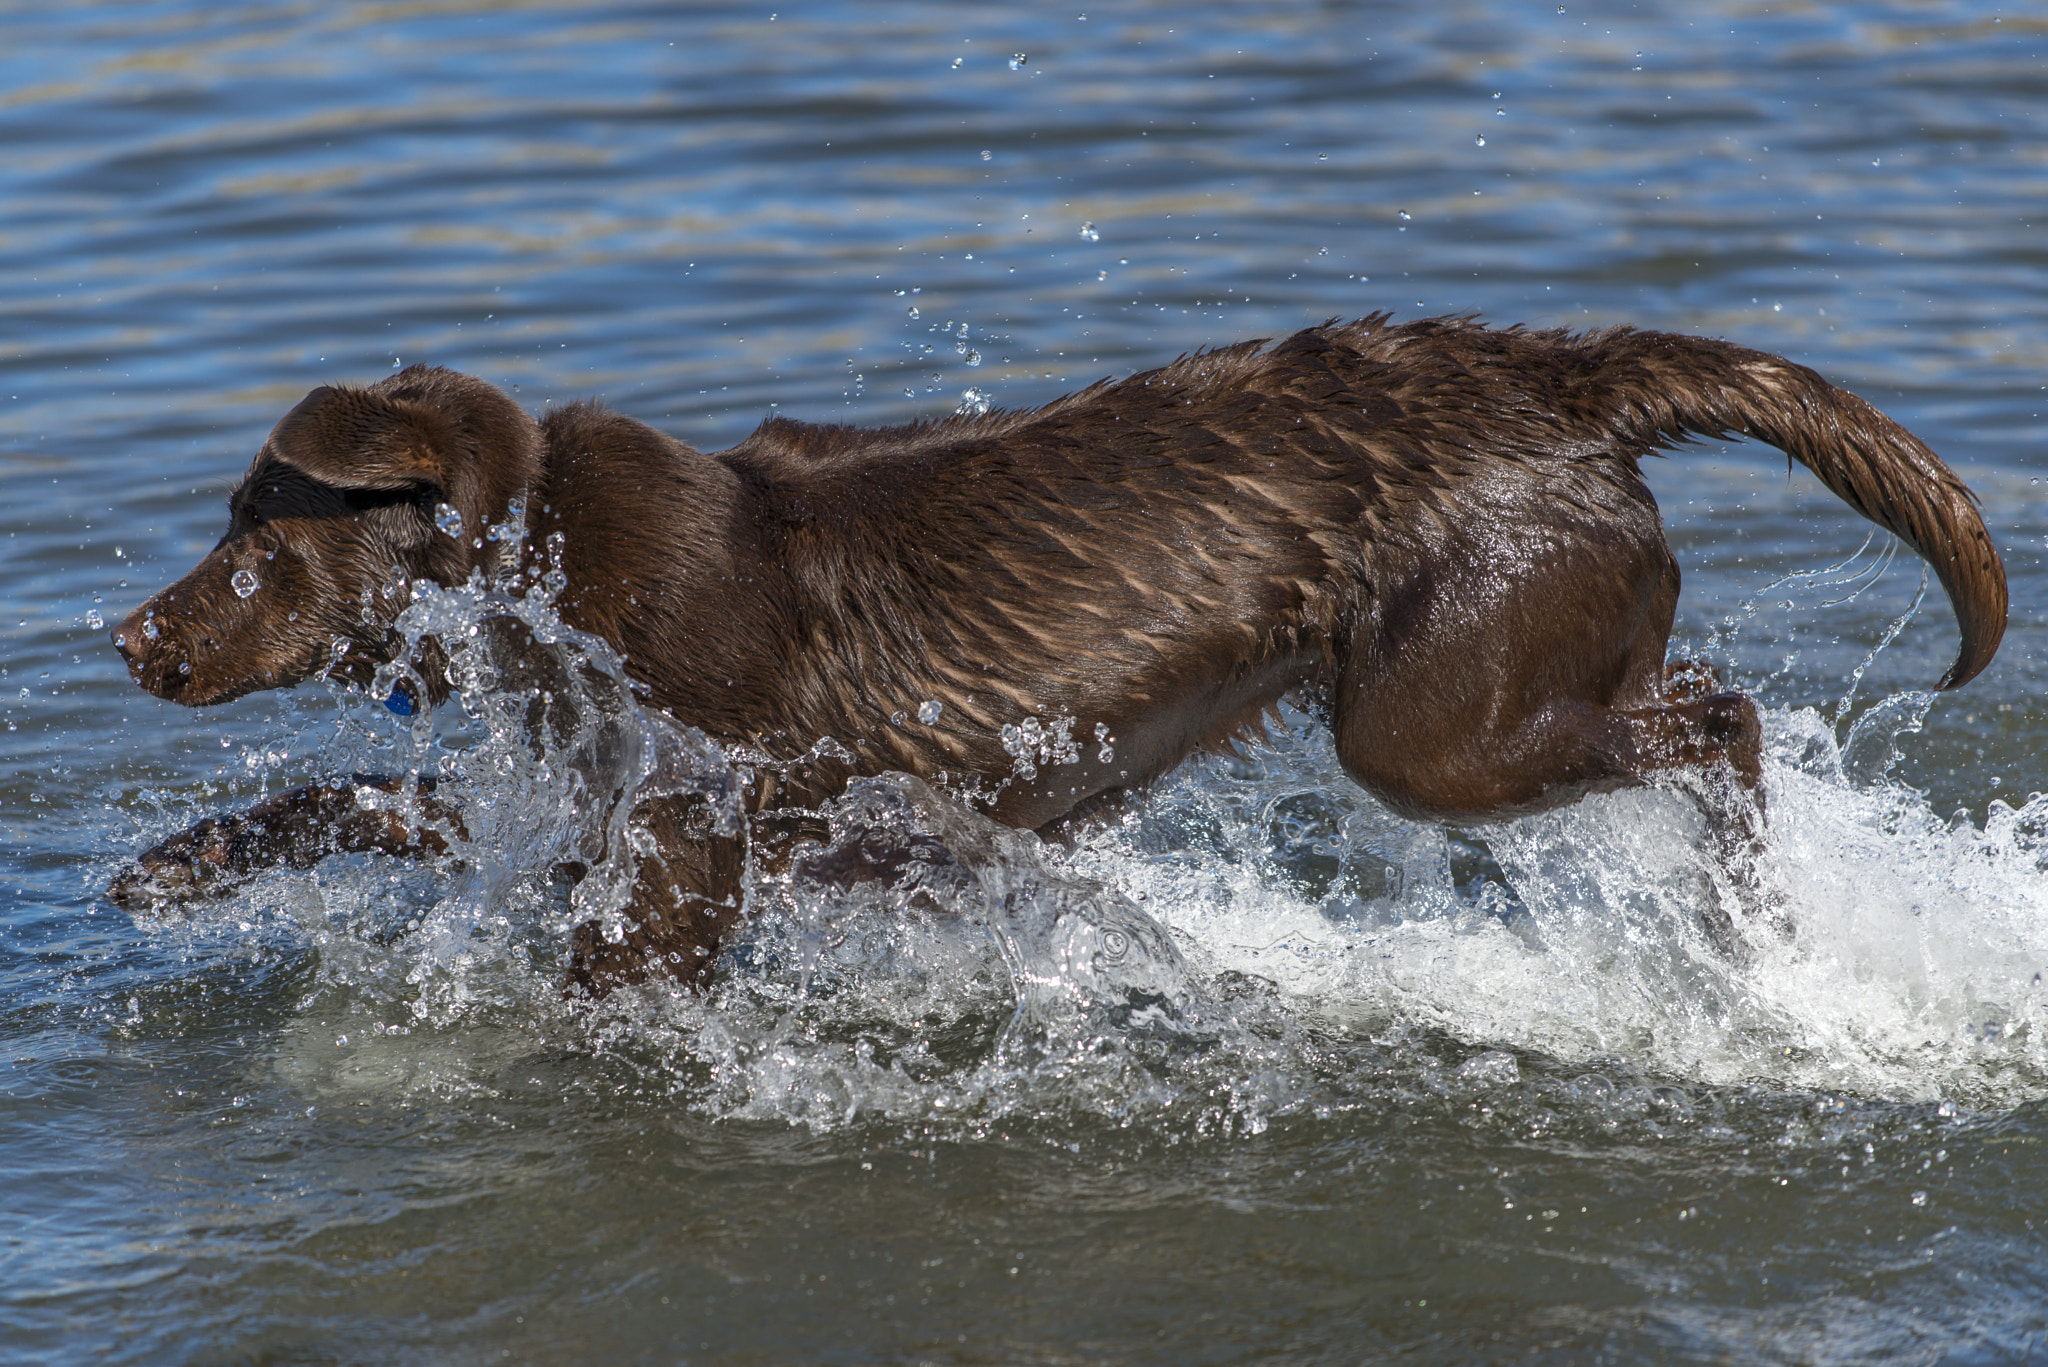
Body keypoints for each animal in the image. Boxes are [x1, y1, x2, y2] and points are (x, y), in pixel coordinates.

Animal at [103, 317, 2007, 996]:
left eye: (258, 537)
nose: (123, 636)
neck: (550, 567)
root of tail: (1562, 380)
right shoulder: (612, 812)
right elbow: (382, 802)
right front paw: (182, 861)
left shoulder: (695, 836)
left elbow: (602, 953)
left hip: (1435, 710)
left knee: (1723, 721)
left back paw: (1753, 921)